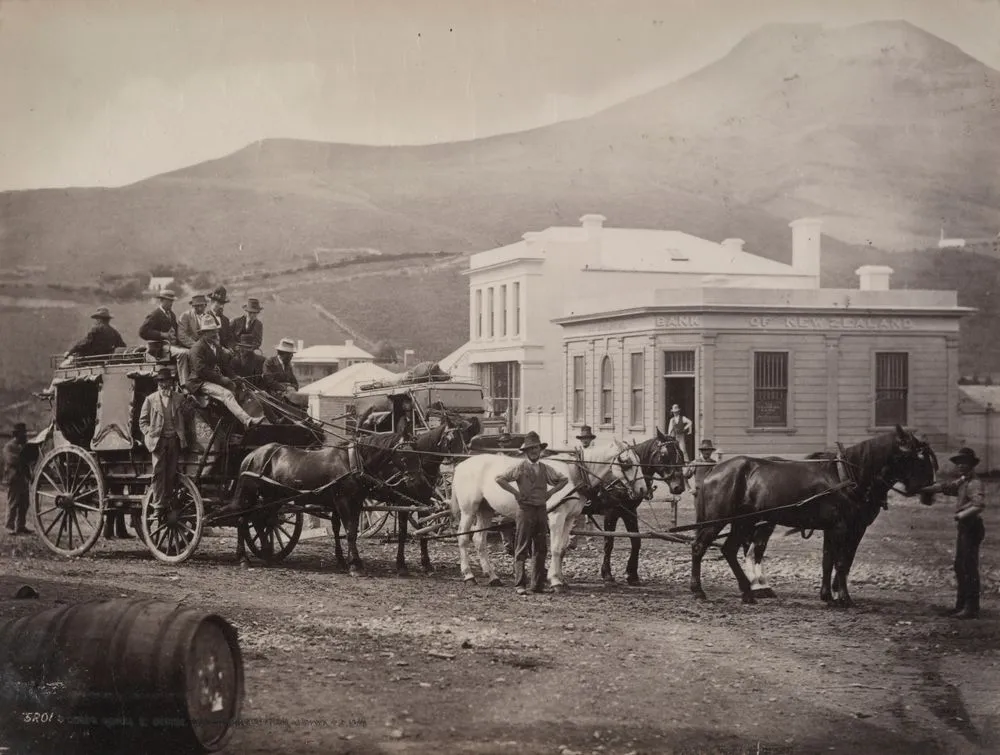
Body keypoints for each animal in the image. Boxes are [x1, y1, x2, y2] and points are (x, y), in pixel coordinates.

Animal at [448, 442, 648, 592]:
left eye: (639, 460)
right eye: (627, 462)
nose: (643, 489)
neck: (574, 474)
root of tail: (461, 465)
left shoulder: (570, 518)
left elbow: (563, 548)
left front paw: (560, 578)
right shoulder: (557, 516)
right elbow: (556, 548)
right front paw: (555, 581)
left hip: (485, 509)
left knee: (479, 540)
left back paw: (492, 576)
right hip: (469, 509)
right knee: (463, 539)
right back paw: (469, 575)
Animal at [688, 426, 936, 608]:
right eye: (919, 458)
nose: (930, 494)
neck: (848, 477)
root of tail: (713, 471)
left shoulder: (834, 528)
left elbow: (828, 560)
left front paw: (827, 595)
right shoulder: (845, 528)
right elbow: (842, 561)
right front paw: (844, 597)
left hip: (745, 521)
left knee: (730, 550)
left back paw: (747, 592)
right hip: (720, 521)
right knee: (700, 547)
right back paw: (698, 590)